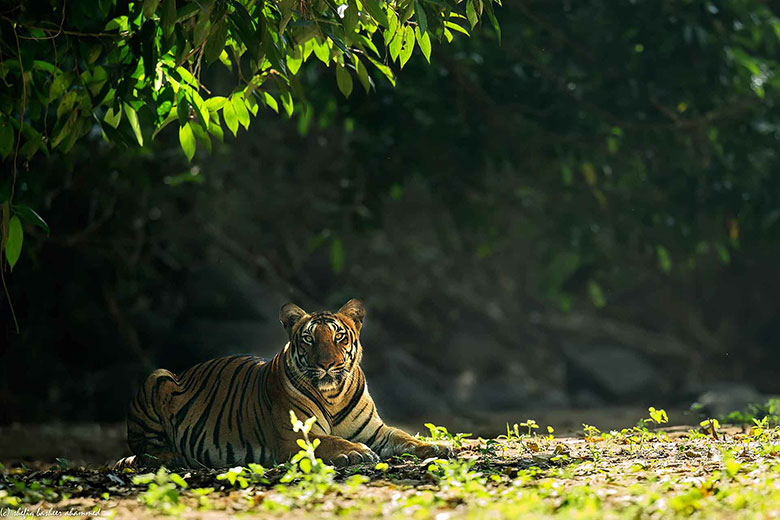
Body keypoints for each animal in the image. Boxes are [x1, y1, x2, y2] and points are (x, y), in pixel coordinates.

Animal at [119, 298, 454, 470]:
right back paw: (175, 457)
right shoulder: (293, 435)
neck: (333, 396)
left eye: (338, 337)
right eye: (308, 338)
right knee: (144, 450)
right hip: (158, 377)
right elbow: (328, 440)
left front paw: (437, 445)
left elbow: (405, 436)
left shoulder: (377, 431)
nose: (327, 364)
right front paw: (356, 452)